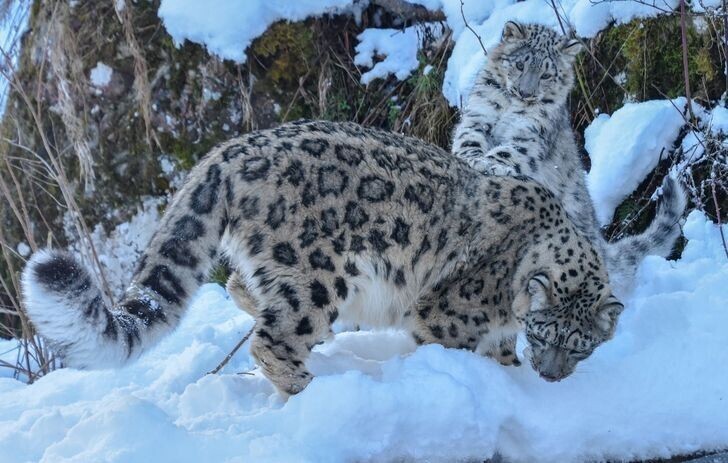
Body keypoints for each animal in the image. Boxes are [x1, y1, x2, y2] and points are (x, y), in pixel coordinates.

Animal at [25, 119, 624, 396]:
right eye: (547, 333)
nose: (552, 377)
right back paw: (307, 388)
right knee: (272, 338)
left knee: (242, 289)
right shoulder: (446, 317)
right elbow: (463, 346)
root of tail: (225, 152)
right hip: (314, 274)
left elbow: (501, 347)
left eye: (582, 345)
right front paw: (508, 382)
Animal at [452, 20, 684, 300]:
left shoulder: (529, 137)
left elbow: (506, 152)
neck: (509, 108)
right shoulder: (478, 117)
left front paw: (489, 163)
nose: (525, 93)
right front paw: (472, 160)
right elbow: (468, 140)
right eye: (519, 65)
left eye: (546, 75)